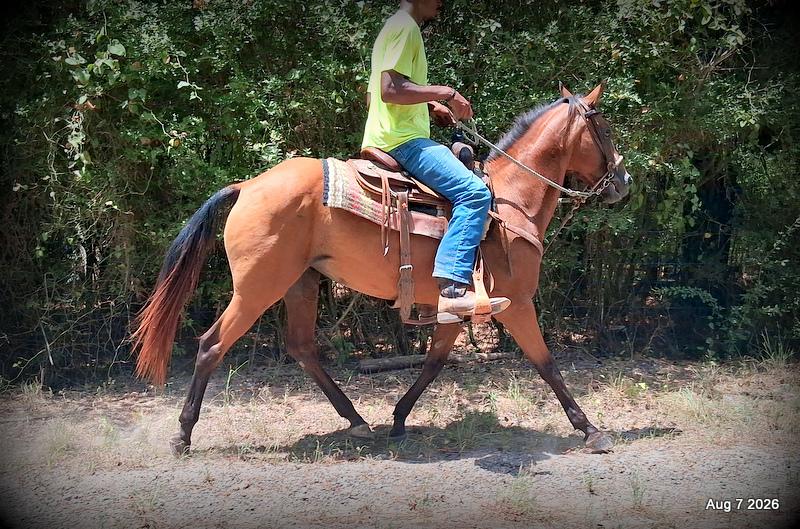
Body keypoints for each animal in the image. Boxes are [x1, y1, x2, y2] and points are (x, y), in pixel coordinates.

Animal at [131, 83, 632, 456]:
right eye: (605, 129)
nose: (624, 183)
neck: (510, 200)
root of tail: (248, 185)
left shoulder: (454, 307)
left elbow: (433, 362)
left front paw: (398, 418)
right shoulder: (516, 303)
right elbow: (547, 364)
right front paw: (590, 430)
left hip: (299, 284)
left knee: (302, 348)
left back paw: (357, 421)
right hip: (257, 289)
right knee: (211, 345)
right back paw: (182, 435)